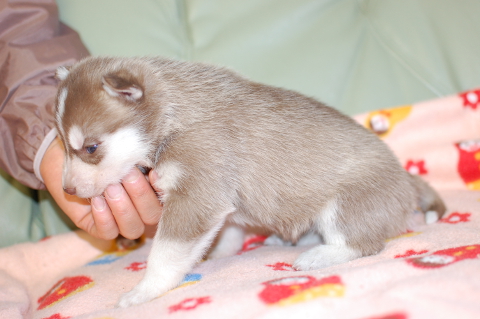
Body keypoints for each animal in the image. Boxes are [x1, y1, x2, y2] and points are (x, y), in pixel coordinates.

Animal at [53, 57, 446, 308]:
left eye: (91, 147)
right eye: (62, 145)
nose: (68, 191)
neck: (174, 114)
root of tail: (406, 179)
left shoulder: (197, 194)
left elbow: (165, 253)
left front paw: (145, 290)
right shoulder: (219, 205)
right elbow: (224, 233)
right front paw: (215, 255)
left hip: (344, 204)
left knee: (361, 242)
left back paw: (319, 255)